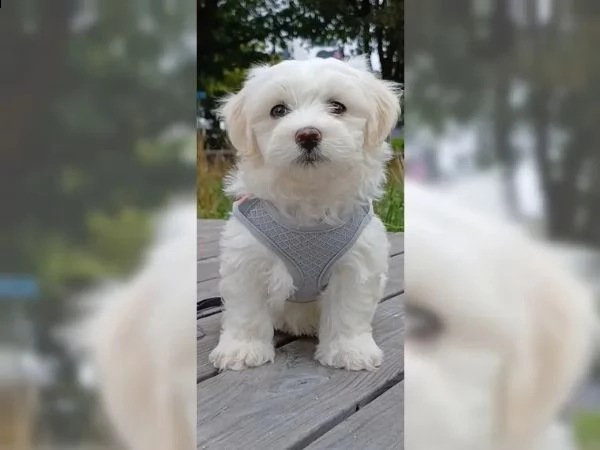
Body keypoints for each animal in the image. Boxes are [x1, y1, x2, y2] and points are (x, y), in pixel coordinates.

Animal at [209, 56, 400, 370]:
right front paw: (242, 349)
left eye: (337, 106)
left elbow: (349, 308)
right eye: (278, 110)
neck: (309, 196)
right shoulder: (246, 258)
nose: (308, 134)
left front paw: (350, 350)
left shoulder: (356, 263)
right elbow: (246, 309)